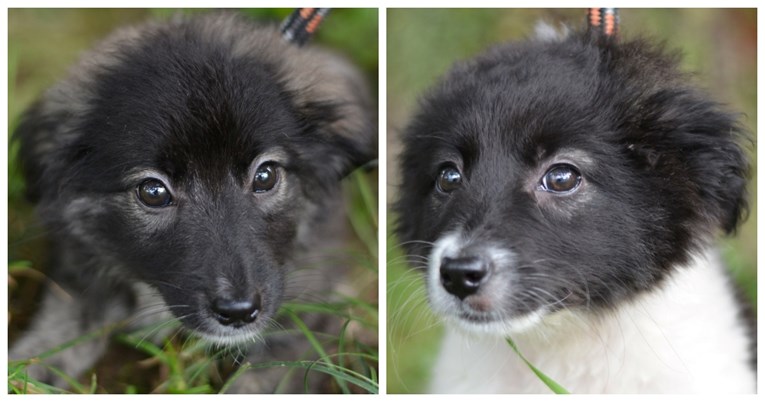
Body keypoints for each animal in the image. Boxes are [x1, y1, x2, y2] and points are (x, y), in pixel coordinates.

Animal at [7, 11, 374, 392]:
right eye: (153, 192)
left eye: (265, 176)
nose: (238, 312)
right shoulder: (81, 269)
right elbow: (57, 333)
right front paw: (25, 371)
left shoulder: (309, 306)